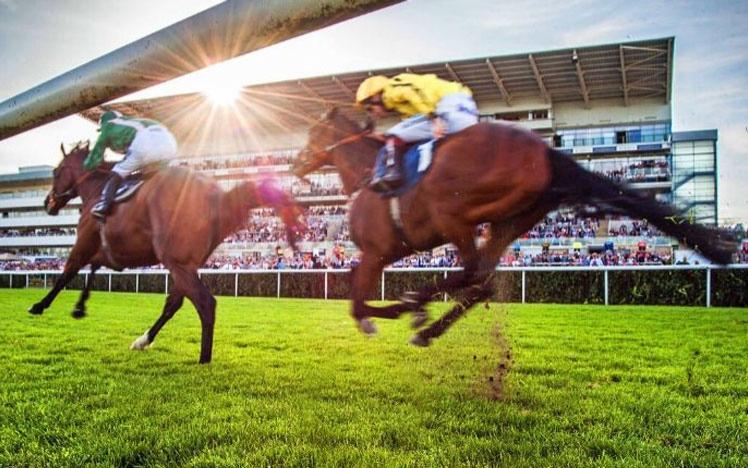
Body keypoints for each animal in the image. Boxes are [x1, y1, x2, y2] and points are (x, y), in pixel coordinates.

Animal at [32, 142, 300, 362]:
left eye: (56, 172)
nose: (47, 203)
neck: (98, 190)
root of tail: (220, 197)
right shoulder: (108, 251)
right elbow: (94, 268)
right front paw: (80, 306)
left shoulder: (84, 242)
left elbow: (68, 271)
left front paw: (39, 305)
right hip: (184, 264)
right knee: (174, 303)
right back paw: (143, 340)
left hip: (176, 261)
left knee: (205, 303)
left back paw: (203, 359)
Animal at [294, 108, 736, 346]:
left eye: (313, 132)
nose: (294, 162)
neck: (367, 175)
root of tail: (544, 150)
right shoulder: (389, 252)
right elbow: (356, 291)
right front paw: (393, 312)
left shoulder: (376, 251)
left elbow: (355, 299)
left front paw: (381, 314)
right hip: (510, 219)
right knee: (483, 280)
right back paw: (426, 325)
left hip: (455, 212)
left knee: (473, 272)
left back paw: (416, 305)